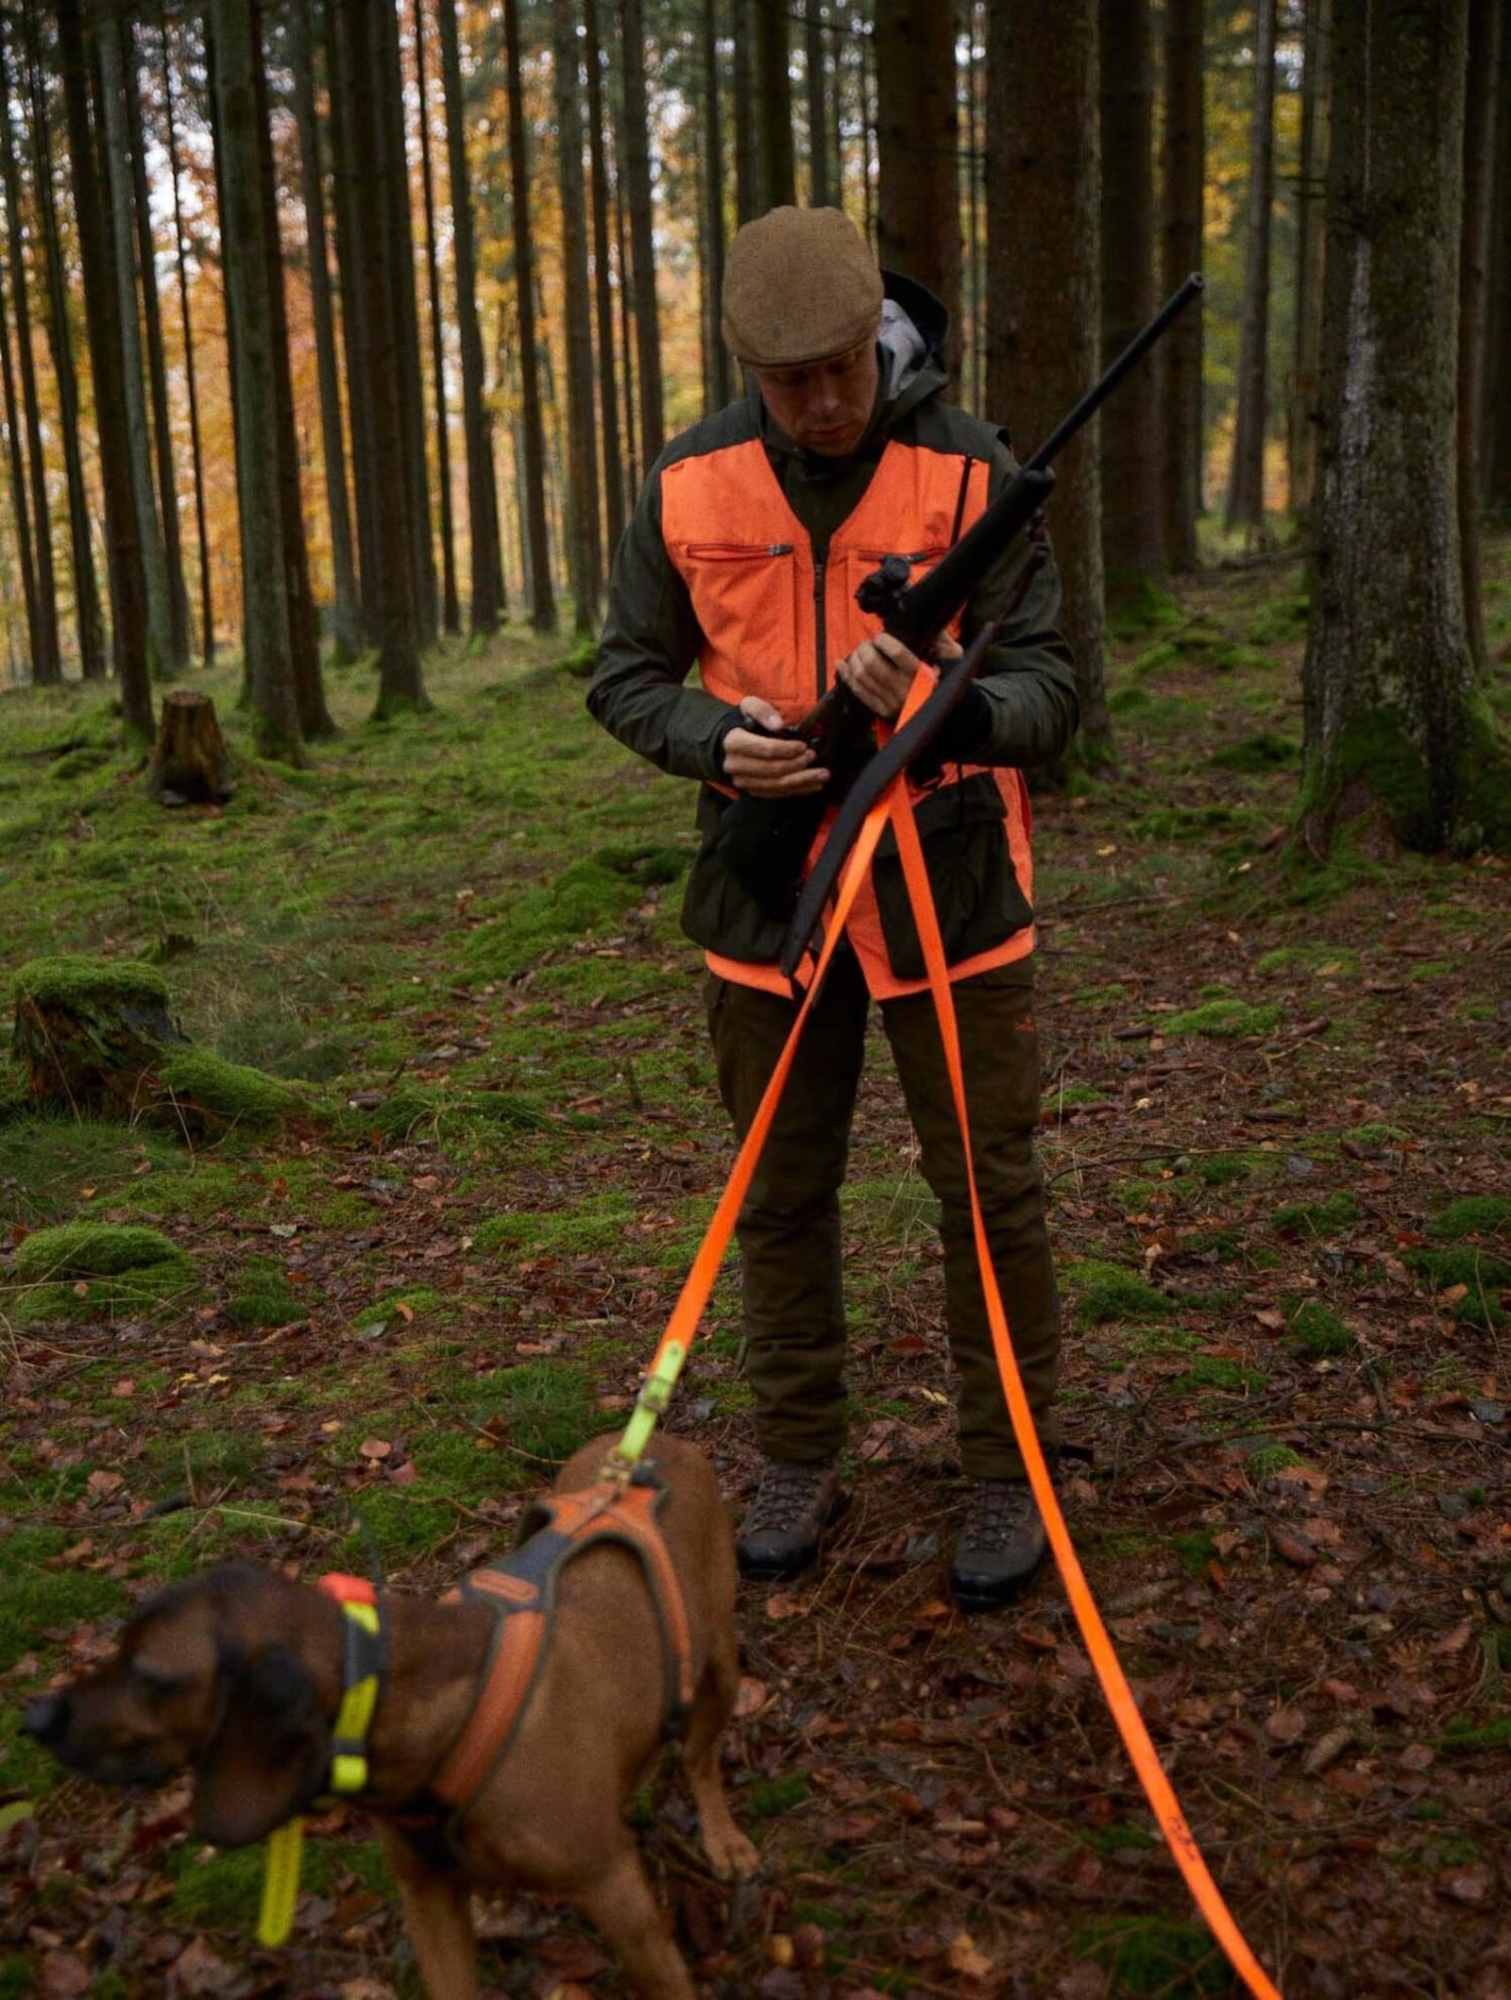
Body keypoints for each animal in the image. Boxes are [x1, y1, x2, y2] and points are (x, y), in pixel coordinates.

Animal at [20, 1432, 755, 1992]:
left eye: (152, 1676)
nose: (34, 1719)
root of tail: (661, 1445)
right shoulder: (426, 1898)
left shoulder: (616, 1893)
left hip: (719, 1659)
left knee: (700, 1756)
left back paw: (723, 1838)